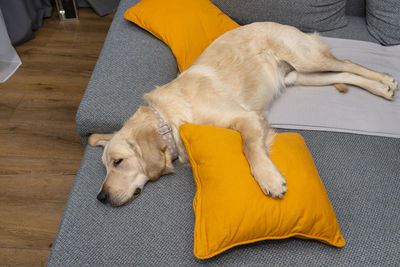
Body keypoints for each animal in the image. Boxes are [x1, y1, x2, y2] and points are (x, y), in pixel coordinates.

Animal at [87, 23, 396, 207]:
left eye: (118, 162)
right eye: (105, 166)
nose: (100, 197)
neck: (169, 119)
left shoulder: (247, 118)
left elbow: (249, 147)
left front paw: (269, 178)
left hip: (308, 60)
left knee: (348, 63)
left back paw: (386, 80)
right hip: (302, 76)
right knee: (345, 74)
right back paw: (380, 88)